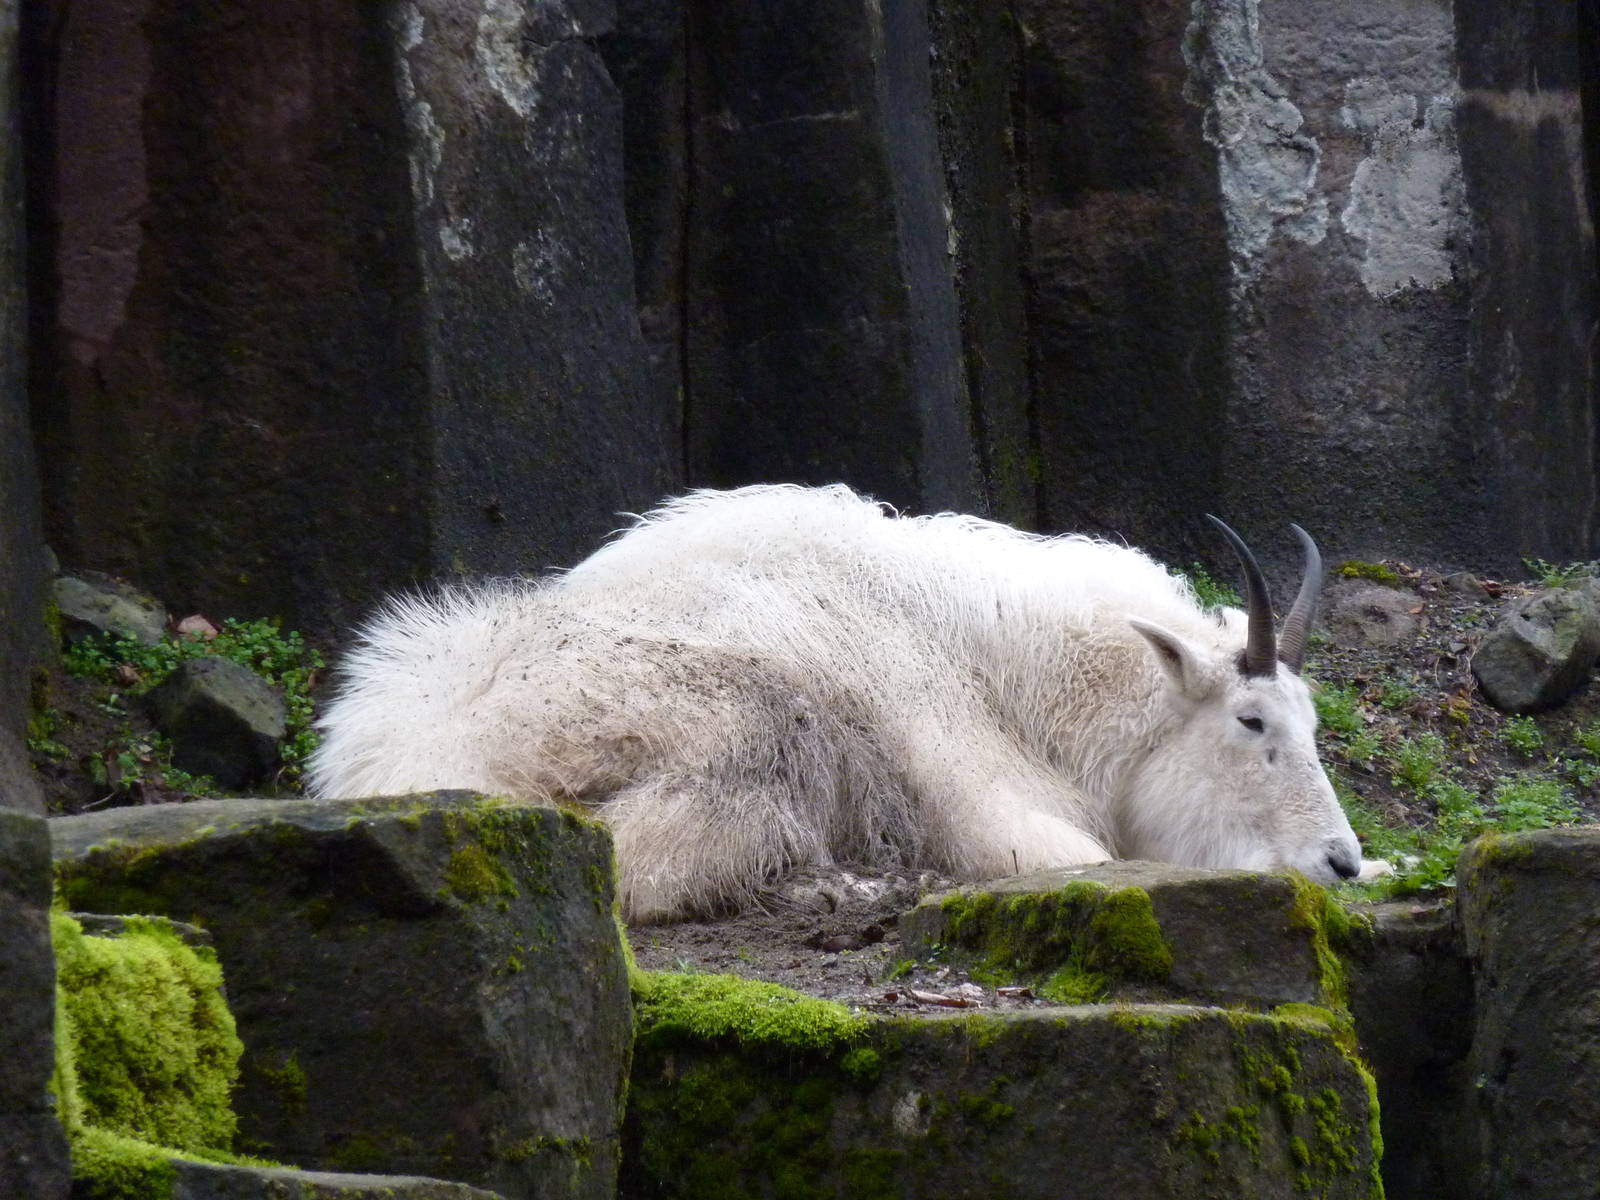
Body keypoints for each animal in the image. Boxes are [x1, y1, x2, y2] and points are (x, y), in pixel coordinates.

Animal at [309, 485, 1371, 922]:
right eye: (1251, 721)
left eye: (1313, 724)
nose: (1342, 861)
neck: (1005, 671)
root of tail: (404, 754)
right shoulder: (997, 814)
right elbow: (1090, 861)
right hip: (741, 722)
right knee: (644, 865)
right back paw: (848, 887)